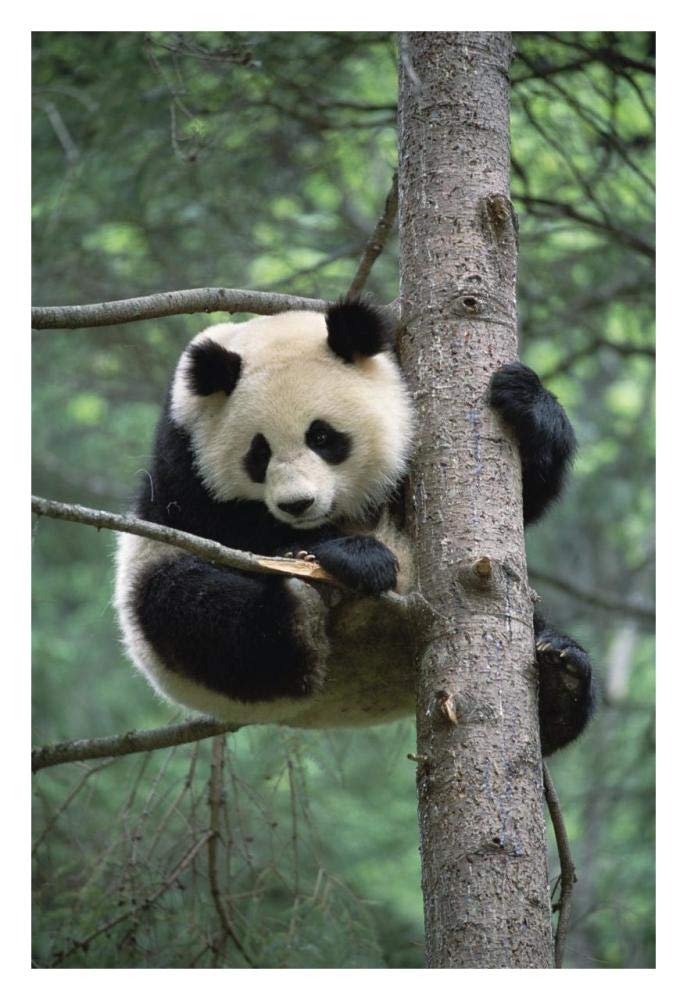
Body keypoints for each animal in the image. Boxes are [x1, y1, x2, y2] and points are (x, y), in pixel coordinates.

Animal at [114, 299, 595, 754]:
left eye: (322, 437)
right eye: (258, 453)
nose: (297, 504)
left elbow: (525, 498)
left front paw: (524, 399)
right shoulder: (184, 453)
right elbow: (219, 525)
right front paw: (357, 557)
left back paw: (562, 680)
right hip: (161, 610)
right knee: (193, 607)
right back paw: (299, 607)